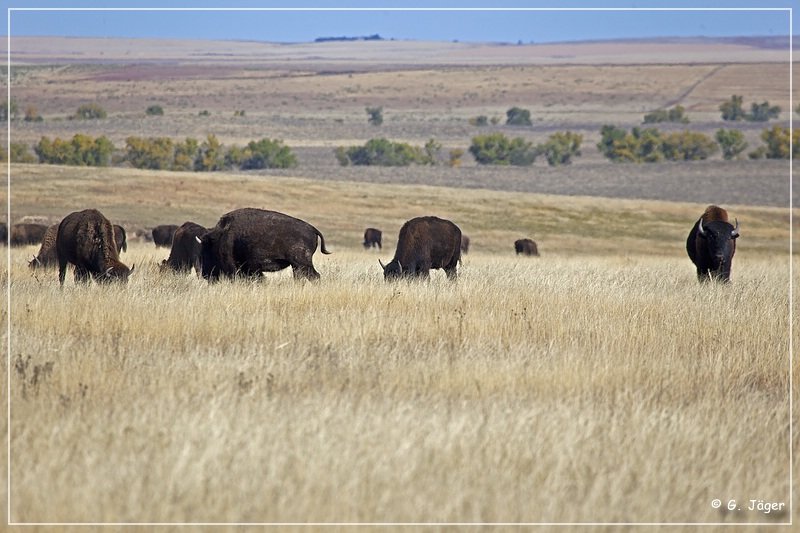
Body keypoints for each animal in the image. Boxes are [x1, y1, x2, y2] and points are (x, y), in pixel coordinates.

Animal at [197, 208, 332, 282]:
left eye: (207, 249)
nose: (205, 275)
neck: (222, 234)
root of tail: (312, 228)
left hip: (302, 264)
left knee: (315, 276)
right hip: (297, 266)